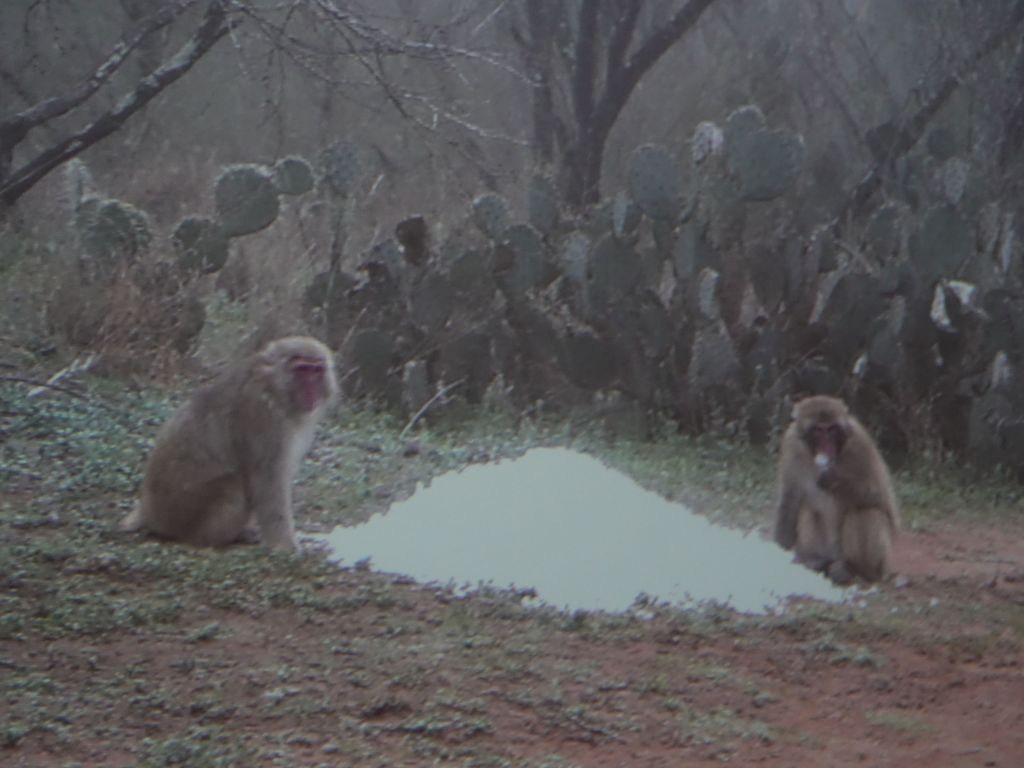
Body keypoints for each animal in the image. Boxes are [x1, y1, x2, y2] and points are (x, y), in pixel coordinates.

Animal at [119, 335, 335, 552]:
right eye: (302, 370)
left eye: (316, 371)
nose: (311, 389)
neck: (273, 388)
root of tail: (147, 511)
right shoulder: (263, 415)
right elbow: (268, 480)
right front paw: (284, 545)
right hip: (180, 513)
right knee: (234, 484)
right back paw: (212, 540)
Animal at [770, 397, 901, 581]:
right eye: (818, 430)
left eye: (831, 429)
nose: (826, 446)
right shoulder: (791, 444)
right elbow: (789, 501)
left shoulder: (860, 443)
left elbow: (880, 498)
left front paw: (834, 479)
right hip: (826, 550)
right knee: (807, 508)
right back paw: (816, 561)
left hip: (876, 564)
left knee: (866, 511)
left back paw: (854, 569)